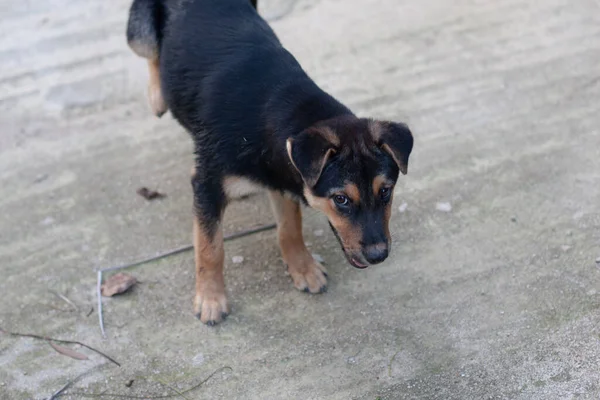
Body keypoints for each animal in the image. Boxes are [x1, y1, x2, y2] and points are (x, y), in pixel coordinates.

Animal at [126, 0, 412, 324]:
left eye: (386, 191)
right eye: (340, 199)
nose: (379, 256)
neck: (275, 112)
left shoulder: (282, 178)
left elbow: (290, 227)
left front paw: (303, 268)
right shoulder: (209, 187)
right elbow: (210, 248)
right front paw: (210, 299)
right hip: (141, 32)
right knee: (150, 51)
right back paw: (157, 94)